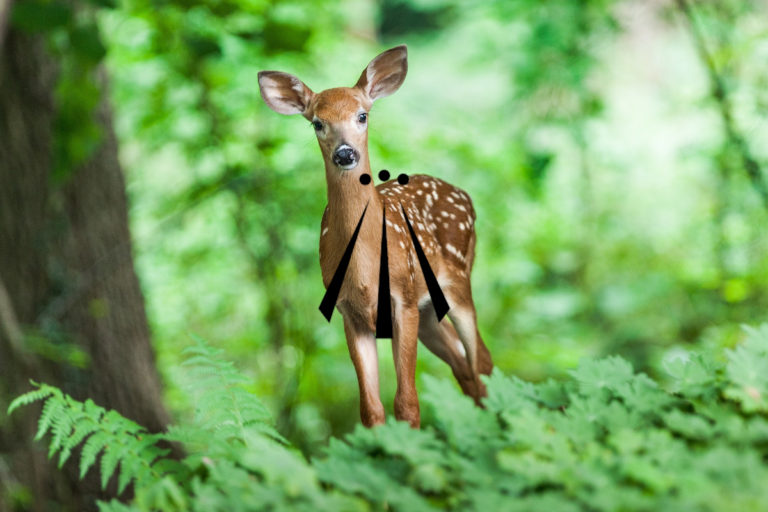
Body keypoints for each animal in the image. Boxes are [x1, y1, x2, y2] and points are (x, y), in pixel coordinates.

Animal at [258, 46, 492, 426]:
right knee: (464, 366)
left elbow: (407, 403)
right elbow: (371, 408)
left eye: (362, 115)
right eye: (317, 123)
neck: (365, 273)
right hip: (430, 313)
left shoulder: (404, 299)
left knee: (482, 361)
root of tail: (465, 195)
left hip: (457, 280)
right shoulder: (349, 313)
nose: (345, 153)